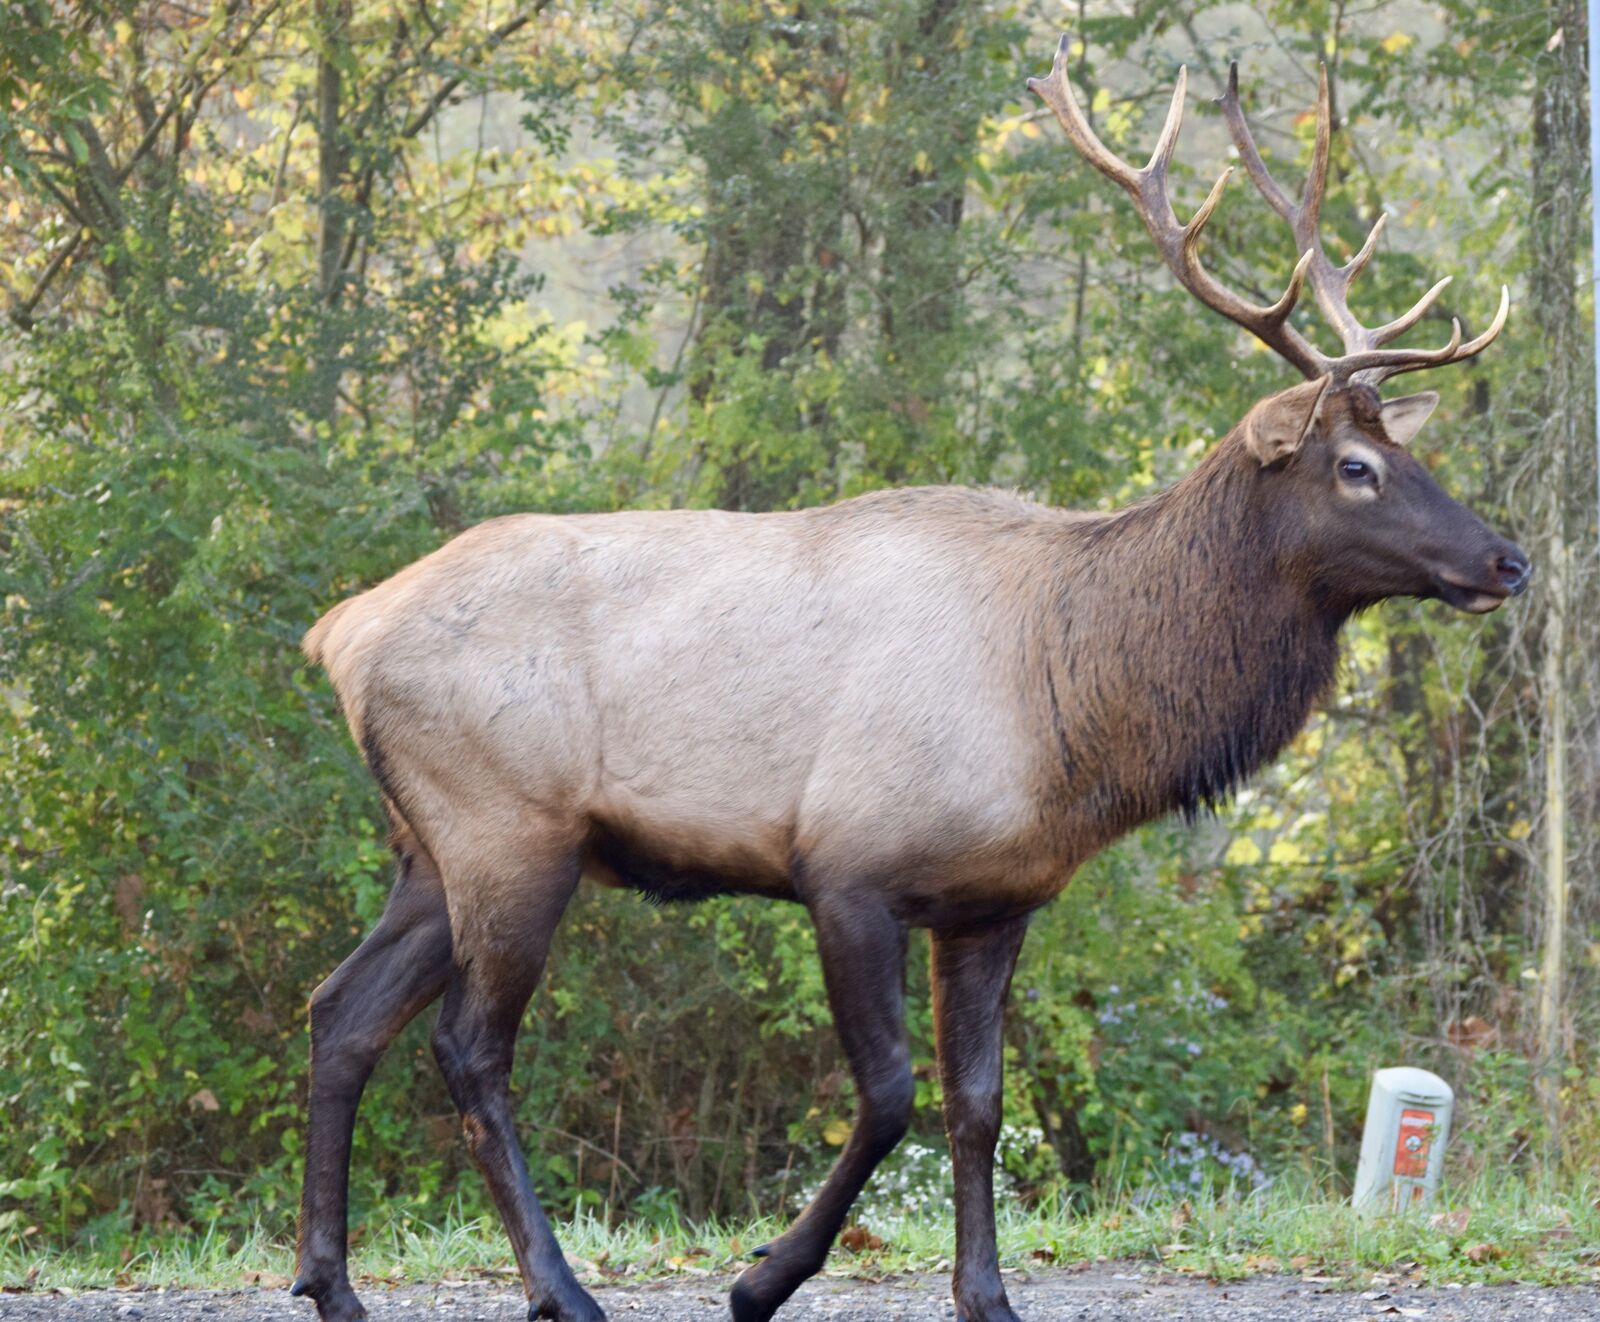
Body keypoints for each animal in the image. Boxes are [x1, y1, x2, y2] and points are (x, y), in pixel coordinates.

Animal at [289, 37, 1529, 1322]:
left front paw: (986, 1293)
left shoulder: (995, 899)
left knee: (340, 1012)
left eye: (1406, 448)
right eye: (1355, 465)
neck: (1074, 721)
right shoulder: (846, 863)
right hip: (508, 827)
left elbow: (978, 1103)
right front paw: (760, 1278)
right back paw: (559, 1289)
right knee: (467, 1047)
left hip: (429, 846)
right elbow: (889, 1094)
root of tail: (341, 629)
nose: (1507, 558)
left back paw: (333, 1281)